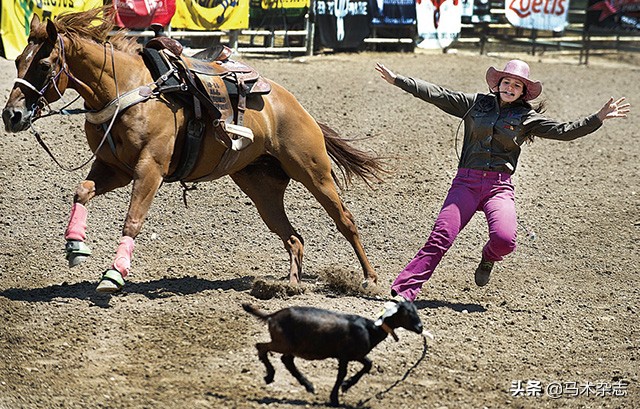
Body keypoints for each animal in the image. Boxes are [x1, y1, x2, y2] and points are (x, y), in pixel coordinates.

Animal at [2, 8, 382, 294]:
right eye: (18, 60)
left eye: (44, 65)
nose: (11, 115)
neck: (125, 89)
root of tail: (294, 106)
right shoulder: (114, 168)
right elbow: (81, 191)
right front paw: (75, 246)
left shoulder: (150, 169)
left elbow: (132, 220)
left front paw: (114, 273)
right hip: (261, 187)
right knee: (293, 237)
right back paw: (289, 286)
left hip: (314, 172)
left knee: (346, 222)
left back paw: (369, 279)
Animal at [240, 300, 424, 404]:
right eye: (407, 313)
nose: (420, 328)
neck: (370, 329)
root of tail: (273, 316)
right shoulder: (345, 355)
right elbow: (342, 373)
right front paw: (335, 397)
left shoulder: (355, 355)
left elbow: (368, 365)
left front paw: (345, 386)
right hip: (282, 343)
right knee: (261, 347)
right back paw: (269, 376)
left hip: (291, 346)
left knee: (287, 360)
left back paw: (308, 386)